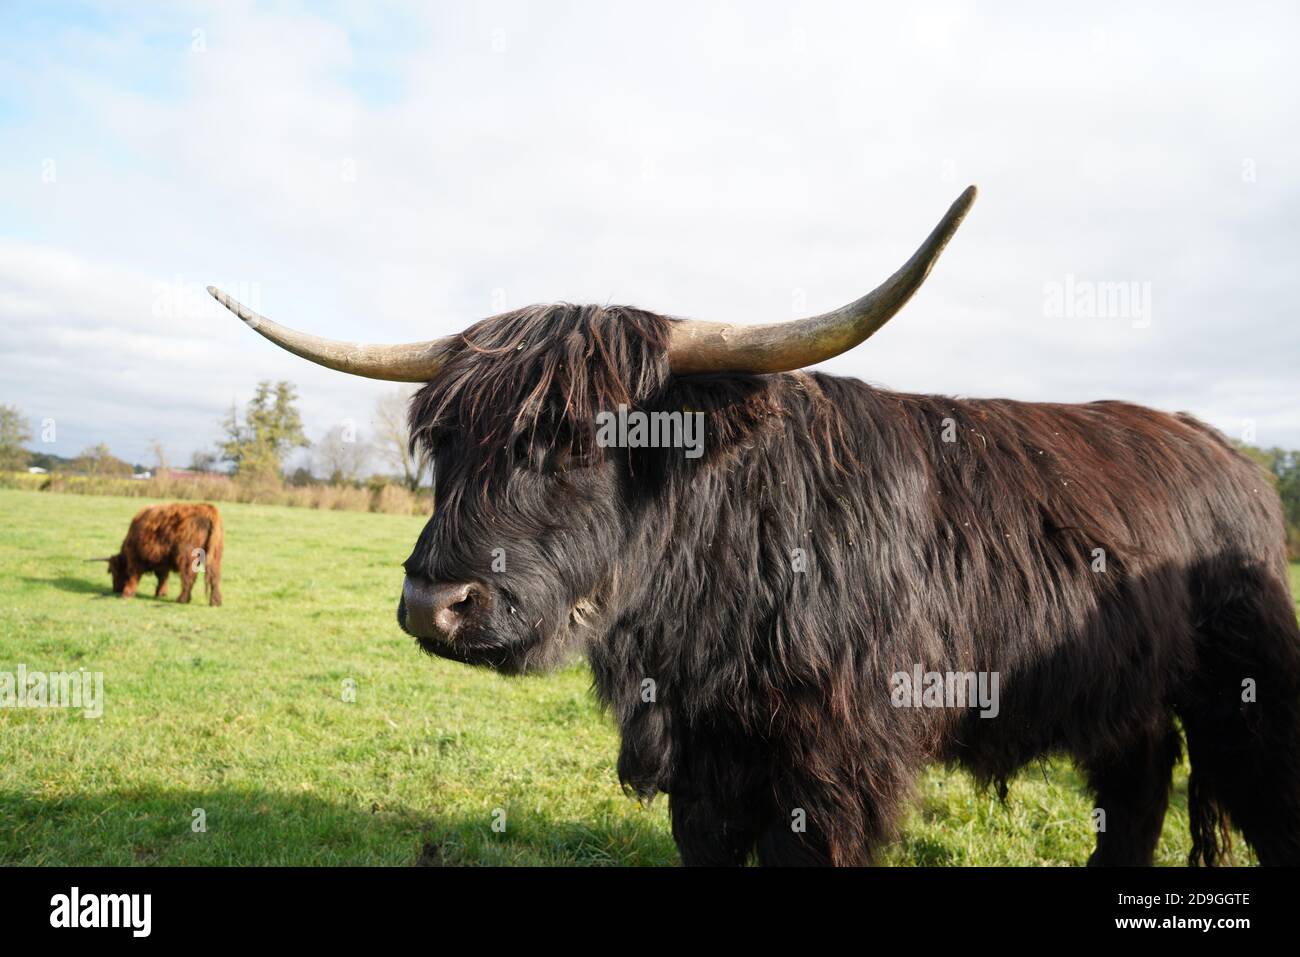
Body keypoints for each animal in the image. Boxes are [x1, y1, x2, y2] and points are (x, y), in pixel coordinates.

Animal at [91, 503, 224, 606]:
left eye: (114, 571)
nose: (115, 590)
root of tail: (208, 509)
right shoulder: (162, 560)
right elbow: (163, 577)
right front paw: (161, 593)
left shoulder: (136, 558)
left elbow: (134, 575)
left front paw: (127, 593)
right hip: (215, 556)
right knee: (214, 577)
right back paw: (215, 602)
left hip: (187, 557)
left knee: (188, 577)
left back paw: (182, 599)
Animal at [209, 186, 1300, 866]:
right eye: (440, 442)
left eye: (583, 441)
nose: (434, 603)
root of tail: (1226, 456)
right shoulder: (704, 769)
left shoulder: (831, 771)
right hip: (1128, 697)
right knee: (1136, 790)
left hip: (1242, 696)